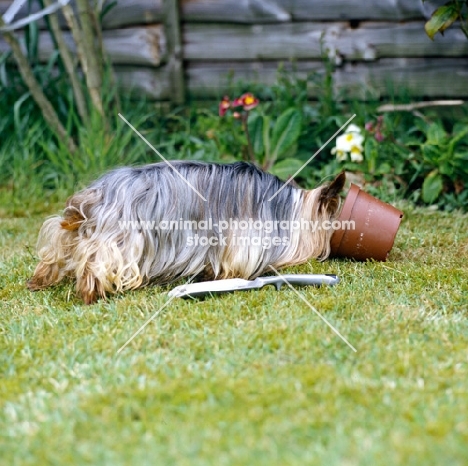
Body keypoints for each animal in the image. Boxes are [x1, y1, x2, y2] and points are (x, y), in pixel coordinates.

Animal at [27, 162, 346, 304]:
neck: (287, 211)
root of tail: (98, 193)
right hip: (120, 237)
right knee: (98, 261)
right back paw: (92, 292)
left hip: (74, 231)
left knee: (56, 248)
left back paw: (39, 279)